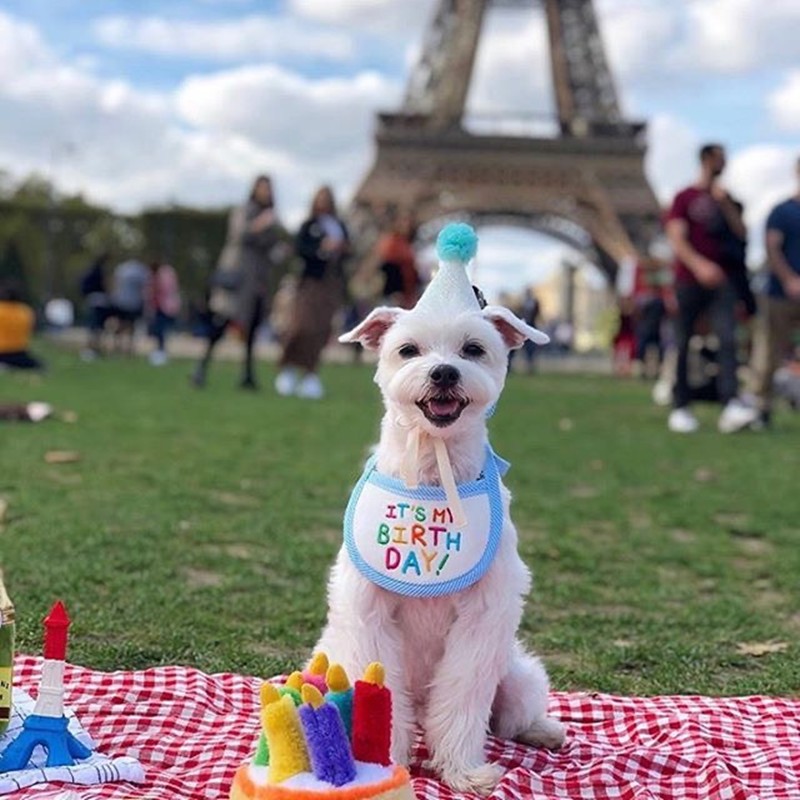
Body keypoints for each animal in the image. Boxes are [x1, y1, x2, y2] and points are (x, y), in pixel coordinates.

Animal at [312, 228, 564, 796]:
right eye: (407, 350)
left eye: (474, 349)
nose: (445, 371)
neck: (432, 466)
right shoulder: (370, 615)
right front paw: (384, 761)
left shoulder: (482, 620)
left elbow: (464, 699)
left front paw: (463, 769)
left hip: (515, 675)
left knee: (508, 715)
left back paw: (541, 730)